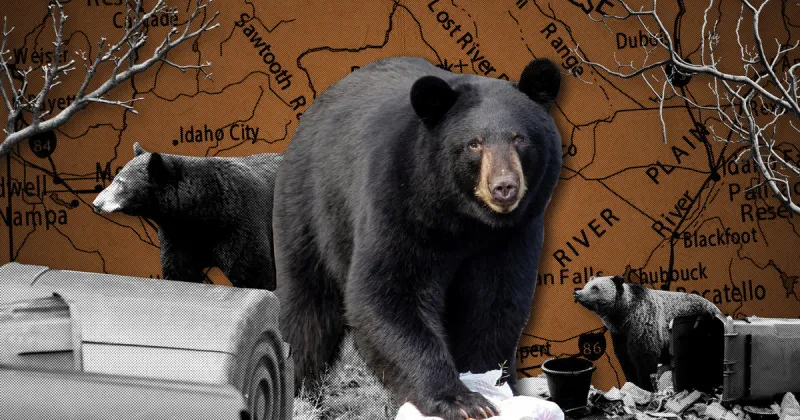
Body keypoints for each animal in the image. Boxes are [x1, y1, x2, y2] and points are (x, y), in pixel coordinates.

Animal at [93, 143, 282, 290]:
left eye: (120, 182)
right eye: (114, 178)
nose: (96, 203)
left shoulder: (237, 224)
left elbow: (251, 271)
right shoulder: (179, 235)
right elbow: (180, 270)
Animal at [272, 56, 563, 420]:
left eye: (519, 139)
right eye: (474, 143)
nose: (504, 187)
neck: (465, 218)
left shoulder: (515, 233)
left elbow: (496, 302)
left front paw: (488, 385)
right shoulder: (399, 203)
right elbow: (387, 293)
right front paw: (461, 400)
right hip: (310, 211)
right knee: (308, 313)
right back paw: (303, 395)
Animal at [573, 267, 721, 391]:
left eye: (595, 287)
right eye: (587, 285)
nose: (577, 293)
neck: (622, 316)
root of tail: (716, 308)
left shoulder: (643, 326)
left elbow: (644, 359)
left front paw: (645, 386)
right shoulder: (620, 336)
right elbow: (626, 360)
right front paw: (632, 383)